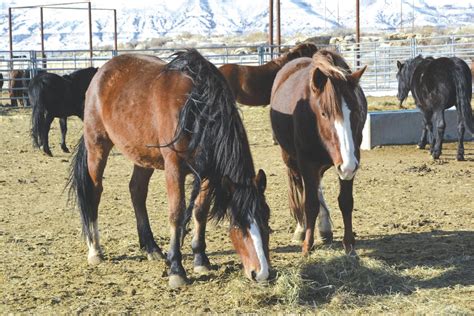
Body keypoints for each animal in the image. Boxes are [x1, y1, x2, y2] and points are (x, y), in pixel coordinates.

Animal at [69, 49, 272, 288]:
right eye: (239, 225)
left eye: (265, 219)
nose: (261, 273)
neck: (196, 107)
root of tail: (102, 72)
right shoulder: (174, 167)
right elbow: (176, 213)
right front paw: (176, 269)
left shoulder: (208, 173)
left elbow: (200, 211)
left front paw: (200, 259)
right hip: (97, 146)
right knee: (95, 191)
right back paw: (95, 250)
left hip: (142, 156)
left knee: (137, 191)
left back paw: (151, 248)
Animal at [270, 50, 366, 256]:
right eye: (324, 113)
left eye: (355, 111)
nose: (347, 166)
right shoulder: (307, 162)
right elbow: (310, 203)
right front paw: (307, 245)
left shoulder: (352, 161)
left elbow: (346, 202)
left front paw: (349, 246)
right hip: (291, 160)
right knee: (302, 188)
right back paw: (301, 229)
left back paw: (324, 229)